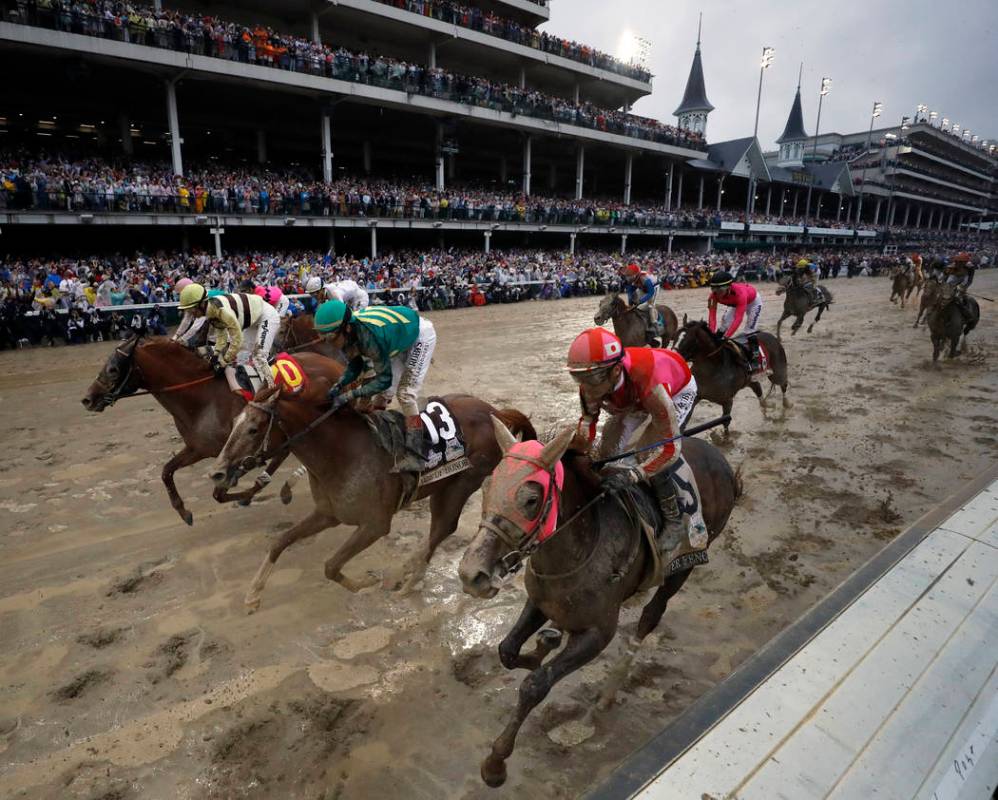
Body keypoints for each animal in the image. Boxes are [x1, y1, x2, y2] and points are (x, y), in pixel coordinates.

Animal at [80, 336, 344, 524]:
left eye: (113, 369)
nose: (87, 399)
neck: (202, 398)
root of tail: (332, 363)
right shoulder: (199, 448)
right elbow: (167, 471)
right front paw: (184, 511)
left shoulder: (231, 452)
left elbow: (220, 493)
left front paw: (244, 492)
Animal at [211, 384, 540, 608]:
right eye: (234, 423)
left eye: (253, 429)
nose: (217, 472)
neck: (340, 453)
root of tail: (494, 412)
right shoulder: (328, 514)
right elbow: (281, 541)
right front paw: (252, 595)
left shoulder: (374, 524)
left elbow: (331, 566)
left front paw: (368, 585)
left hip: (459, 483)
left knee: (442, 528)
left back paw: (407, 579)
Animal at [460, 418, 744, 788]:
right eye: (486, 486)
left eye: (532, 499)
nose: (471, 574)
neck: (579, 545)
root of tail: (721, 461)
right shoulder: (541, 600)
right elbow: (507, 651)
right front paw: (542, 645)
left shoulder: (598, 632)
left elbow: (535, 685)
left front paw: (496, 763)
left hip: (688, 561)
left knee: (651, 616)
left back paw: (610, 691)